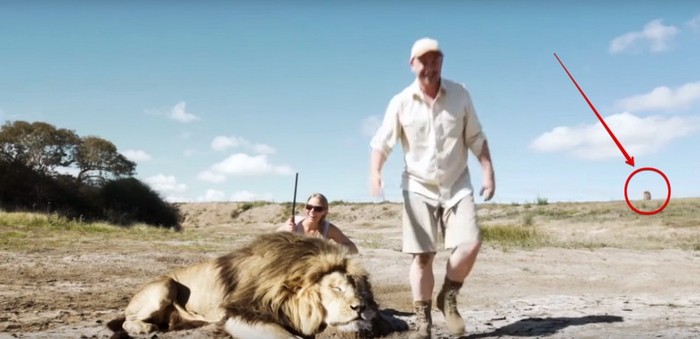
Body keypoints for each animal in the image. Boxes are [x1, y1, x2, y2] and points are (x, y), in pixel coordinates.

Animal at [108, 232, 404, 338]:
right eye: (336, 288)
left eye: (359, 289)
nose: (359, 307)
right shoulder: (238, 313)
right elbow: (287, 337)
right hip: (165, 285)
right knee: (127, 319)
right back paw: (144, 328)